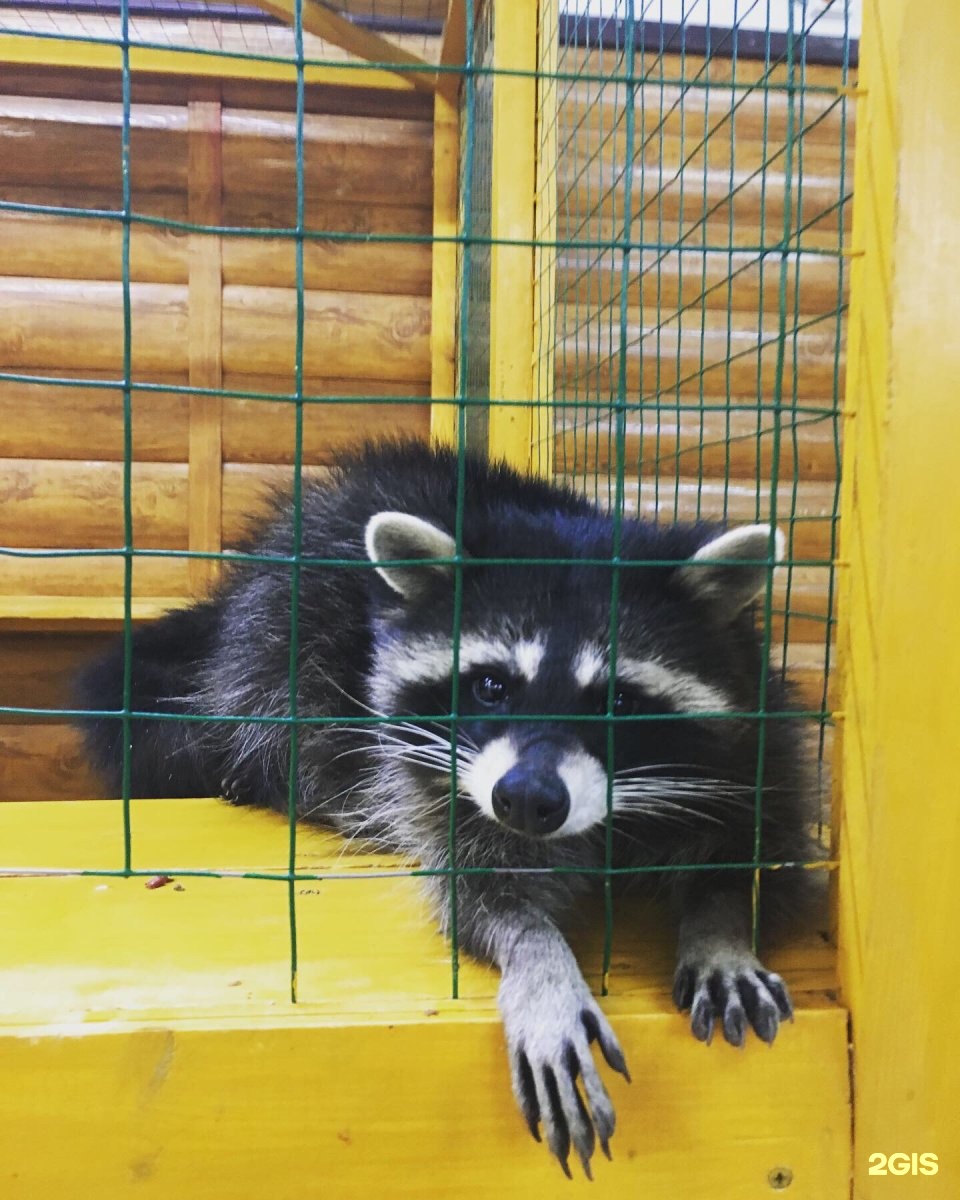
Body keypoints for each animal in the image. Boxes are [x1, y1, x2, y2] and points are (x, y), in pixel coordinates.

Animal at [78, 436, 816, 1176]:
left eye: (617, 701)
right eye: (491, 685)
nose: (526, 800)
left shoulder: (754, 745)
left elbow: (760, 853)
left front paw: (721, 927)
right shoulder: (440, 786)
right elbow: (484, 899)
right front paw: (542, 965)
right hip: (275, 635)